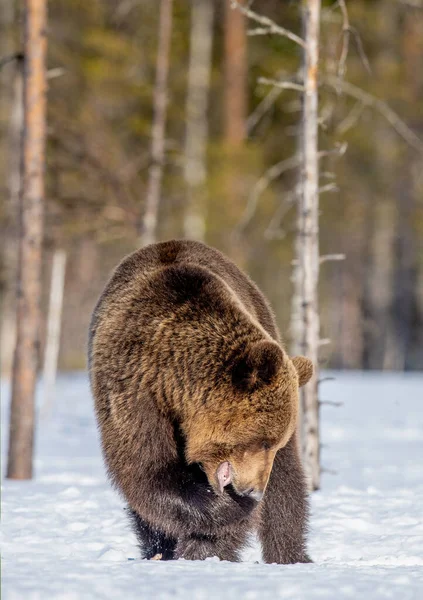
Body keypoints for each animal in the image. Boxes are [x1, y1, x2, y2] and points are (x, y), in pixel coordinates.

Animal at [88, 239, 314, 564]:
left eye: (272, 443)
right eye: (263, 441)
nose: (253, 491)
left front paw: (205, 549)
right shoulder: (133, 389)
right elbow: (149, 471)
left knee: (288, 483)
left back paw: (290, 554)